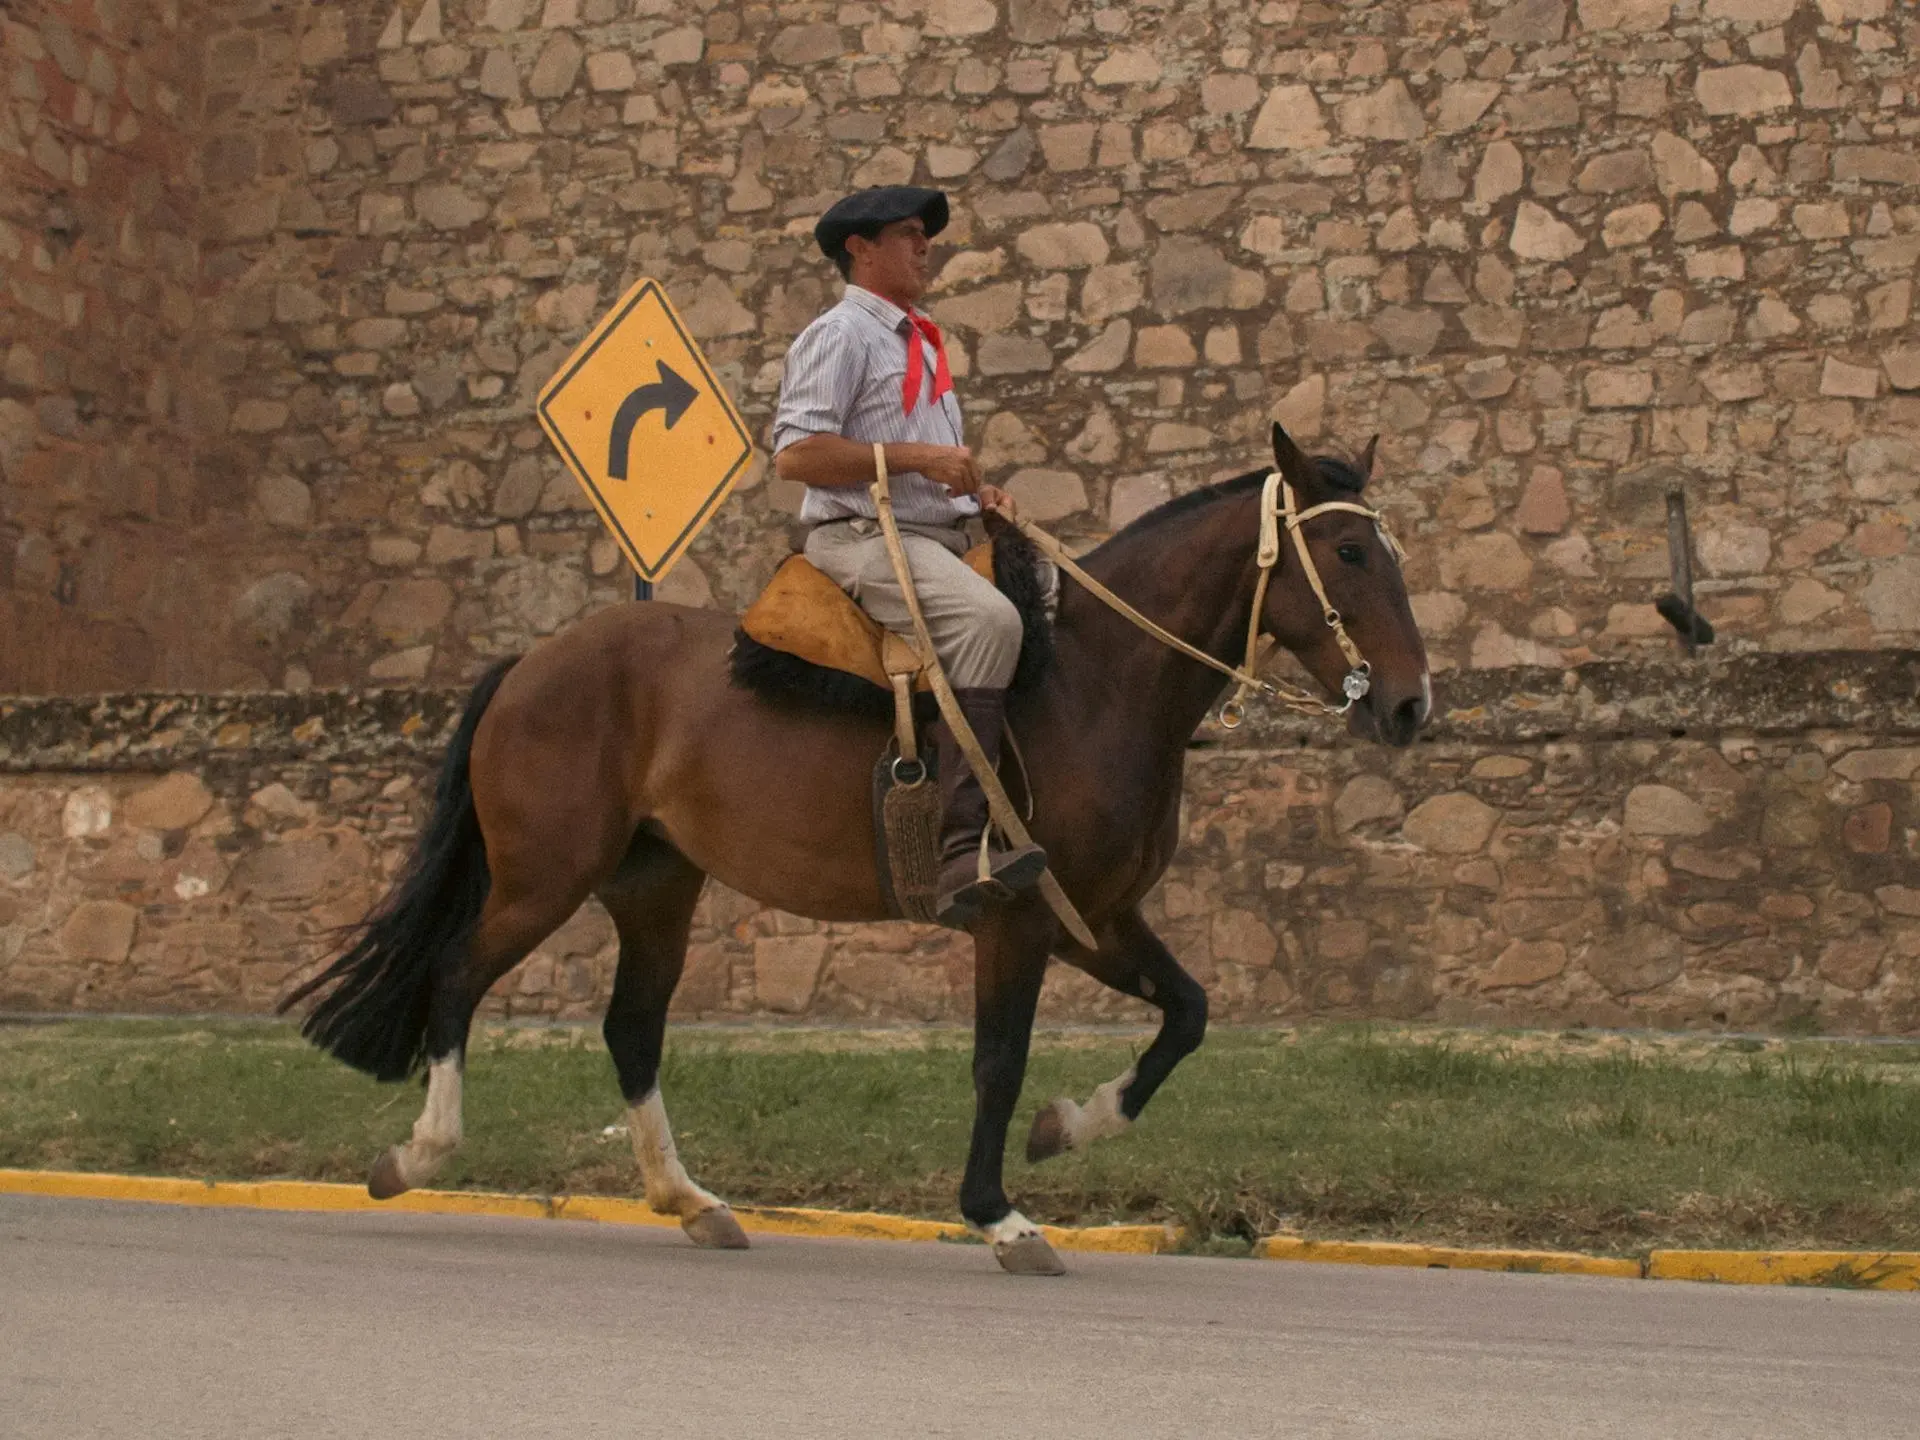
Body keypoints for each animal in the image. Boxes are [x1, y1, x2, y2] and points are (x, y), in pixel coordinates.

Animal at [284, 422, 1428, 1282]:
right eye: (1350, 554)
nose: (1412, 704)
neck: (1093, 682)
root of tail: (532, 661)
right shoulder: (1017, 919)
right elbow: (998, 1061)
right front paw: (999, 1214)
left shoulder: (1095, 918)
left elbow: (1187, 1014)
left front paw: (1071, 1125)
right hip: (541, 881)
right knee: (455, 976)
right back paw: (419, 1151)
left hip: (655, 887)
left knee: (631, 1030)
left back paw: (690, 1201)